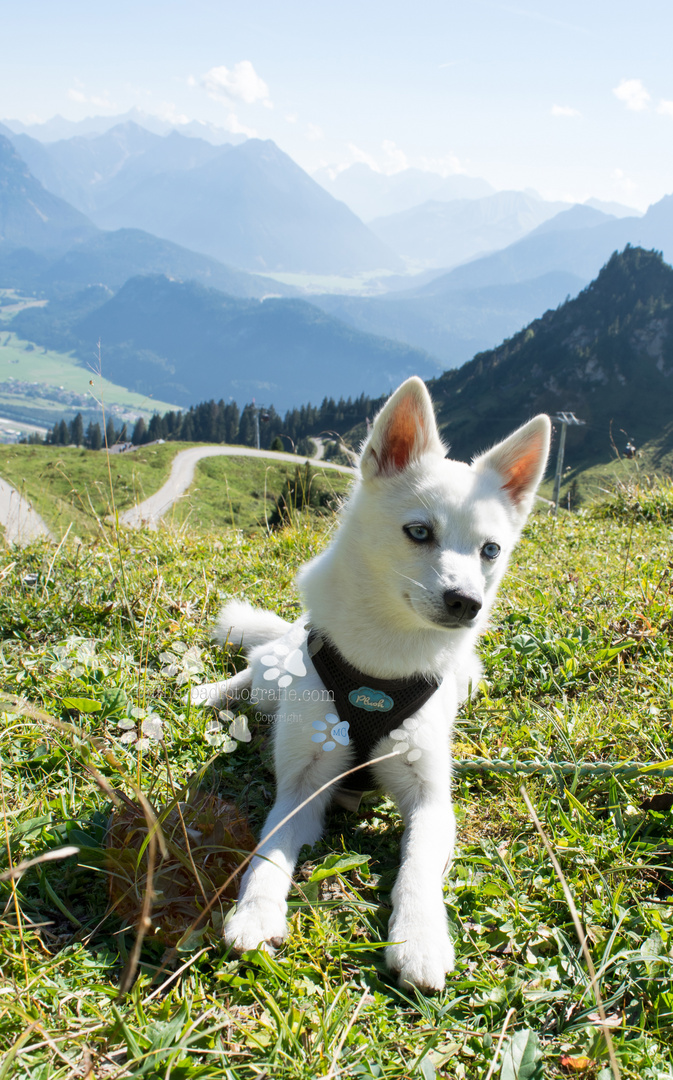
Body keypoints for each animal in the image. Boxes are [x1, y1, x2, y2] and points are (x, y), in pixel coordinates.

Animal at [192, 375, 550, 989]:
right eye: (419, 531)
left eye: (490, 550)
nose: (468, 603)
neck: (381, 665)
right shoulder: (301, 783)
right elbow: (268, 851)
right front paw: (256, 912)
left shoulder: (430, 797)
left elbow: (418, 866)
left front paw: (421, 937)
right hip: (274, 674)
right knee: (256, 664)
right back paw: (214, 693)